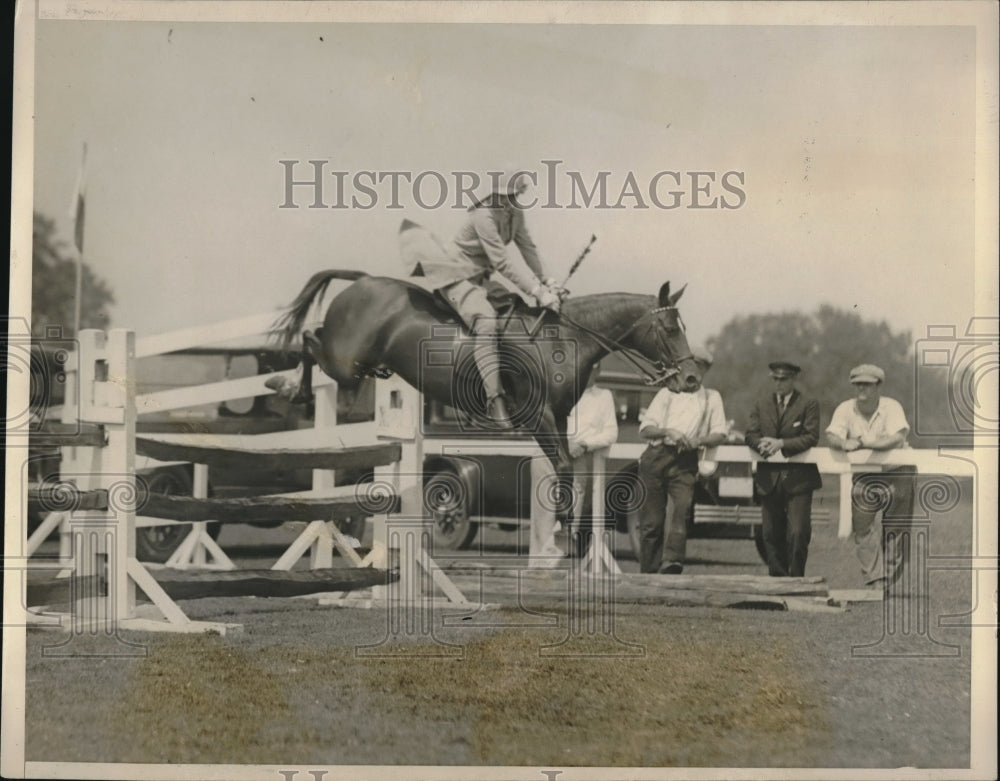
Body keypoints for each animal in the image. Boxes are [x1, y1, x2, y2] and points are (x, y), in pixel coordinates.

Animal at [270, 270, 700, 482]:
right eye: (669, 329)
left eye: (684, 326)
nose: (692, 380)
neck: (562, 339)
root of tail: (359, 284)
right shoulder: (539, 415)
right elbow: (562, 466)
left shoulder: (559, 418)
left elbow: (566, 465)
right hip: (344, 362)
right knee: (309, 338)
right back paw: (288, 386)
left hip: (351, 361)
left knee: (313, 338)